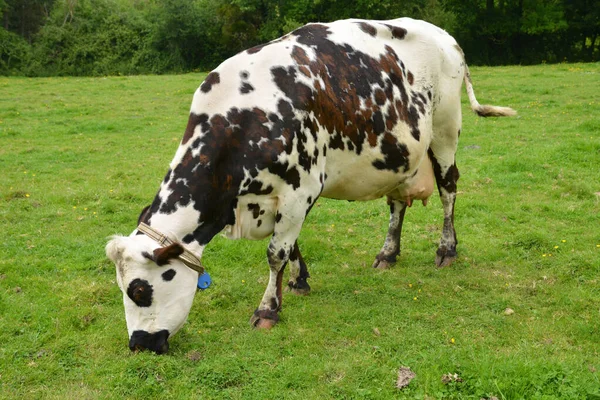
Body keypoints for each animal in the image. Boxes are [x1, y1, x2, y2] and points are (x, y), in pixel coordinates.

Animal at [105, 18, 512, 354]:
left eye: (140, 290)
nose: (138, 345)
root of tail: (445, 36)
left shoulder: (300, 189)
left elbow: (276, 252)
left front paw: (268, 309)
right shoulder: (281, 197)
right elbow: (290, 244)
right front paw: (299, 281)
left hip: (444, 132)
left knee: (448, 190)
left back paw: (447, 248)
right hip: (400, 155)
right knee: (397, 203)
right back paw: (387, 253)